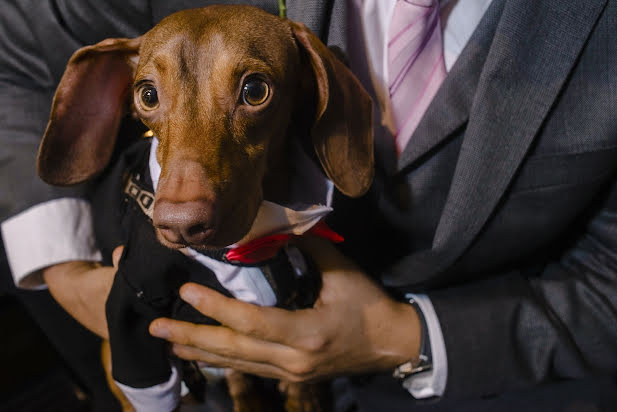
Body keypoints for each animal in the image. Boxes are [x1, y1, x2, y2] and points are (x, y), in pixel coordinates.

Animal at [39, 4, 376, 412]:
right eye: (148, 95)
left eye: (255, 90)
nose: (179, 224)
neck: (251, 249)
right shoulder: (131, 317)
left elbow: (296, 383)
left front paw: (301, 396)